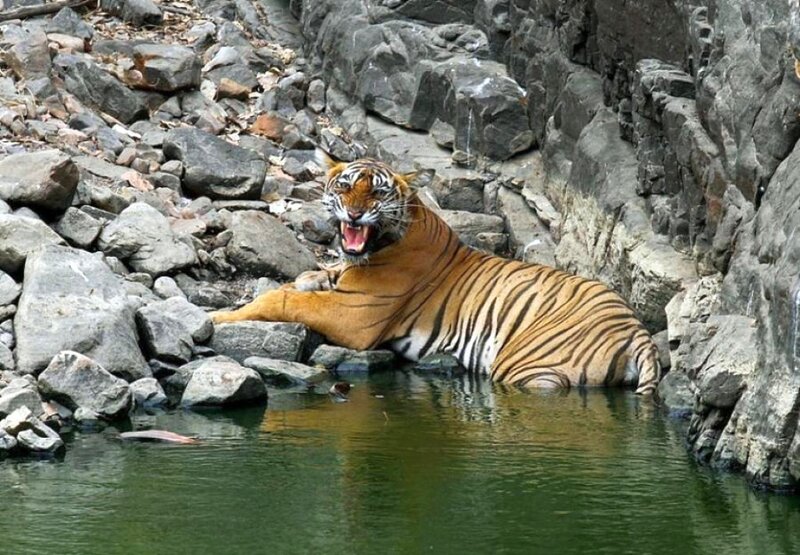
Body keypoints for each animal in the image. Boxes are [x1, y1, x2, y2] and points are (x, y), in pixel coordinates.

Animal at [211, 154, 661, 394]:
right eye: (344, 187)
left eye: (377, 192)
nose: (354, 214)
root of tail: (636, 329)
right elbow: (308, 278)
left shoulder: (354, 317)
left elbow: (282, 298)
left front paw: (219, 317)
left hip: (529, 369)